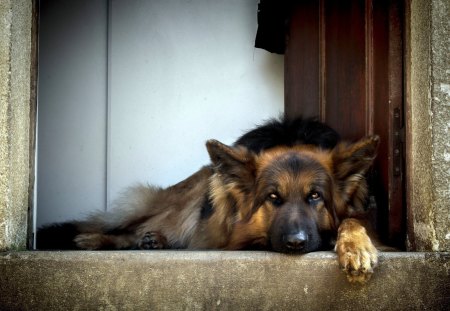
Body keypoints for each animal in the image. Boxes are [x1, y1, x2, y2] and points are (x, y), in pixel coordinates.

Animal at [37, 117, 378, 282]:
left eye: (315, 196)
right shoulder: (232, 233)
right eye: (273, 197)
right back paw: (99, 239)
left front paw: (356, 247)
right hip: (182, 209)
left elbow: (352, 219)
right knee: (132, 228)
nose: (296, 242)